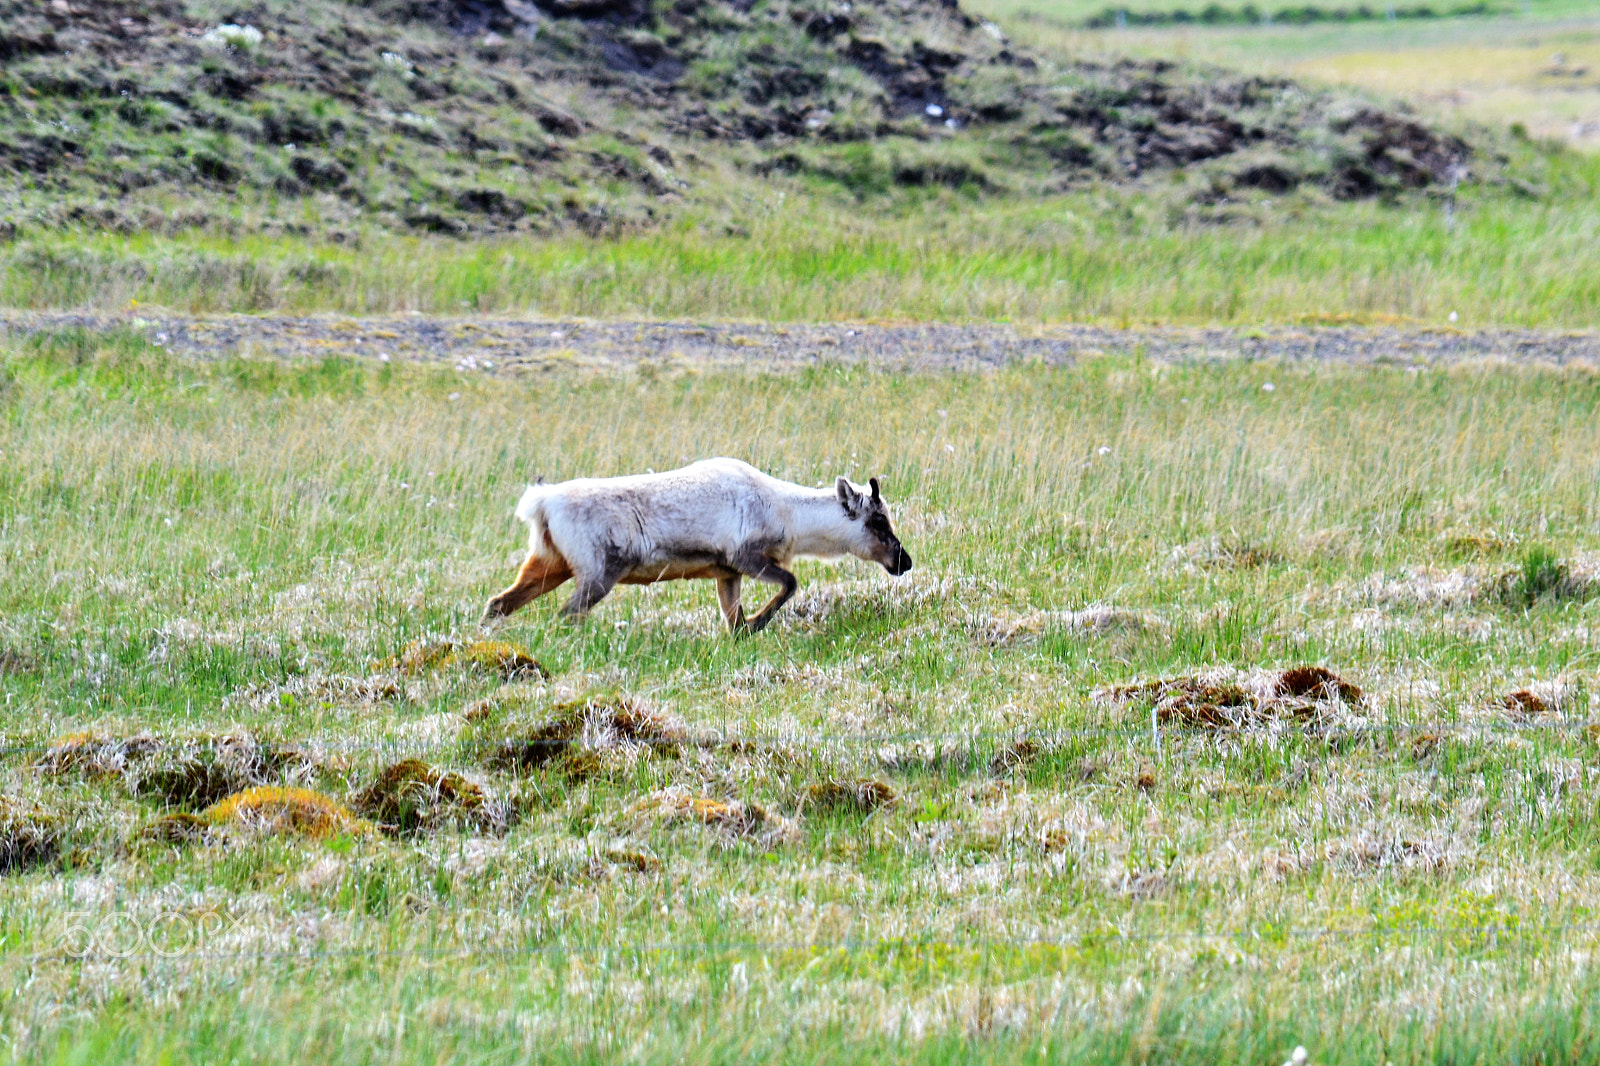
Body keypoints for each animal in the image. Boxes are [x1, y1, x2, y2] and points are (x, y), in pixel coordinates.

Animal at [480, 458, 913, 634]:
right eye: (877, 520)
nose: (904, 561)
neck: (787, 513)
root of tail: (542, 501)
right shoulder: (746, 557)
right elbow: (791, 583)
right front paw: (759, 621)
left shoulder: (728, 573)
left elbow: (733, 618)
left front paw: (744, 630)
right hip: (597, 574)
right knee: (565, 614)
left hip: (550, 564)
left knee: (499, 602)